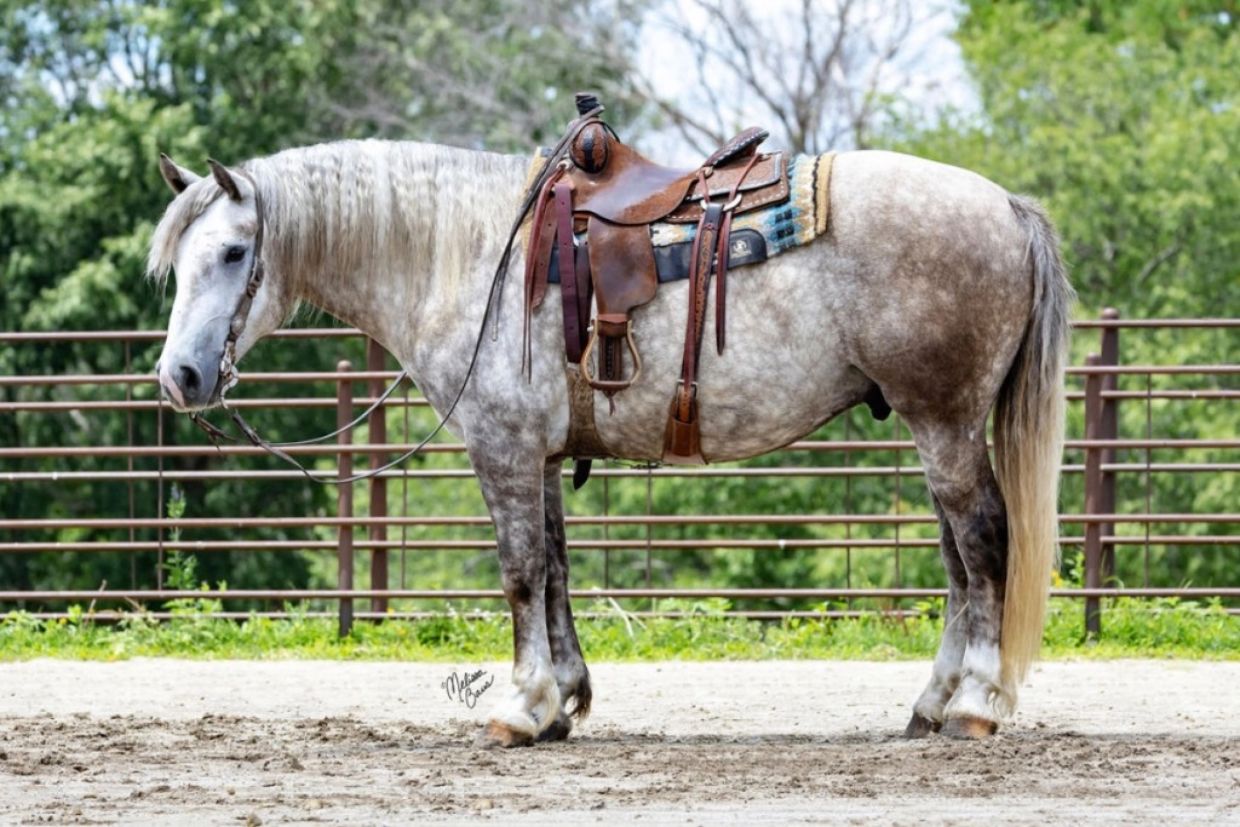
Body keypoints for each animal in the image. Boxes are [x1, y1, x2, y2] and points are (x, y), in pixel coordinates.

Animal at [147, 137, 1072, 745]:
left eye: (233, 252)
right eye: (177, 263)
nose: (181, 376)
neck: (468, 259)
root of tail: (1006, 205)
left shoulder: (503, 448)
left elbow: (520, 572)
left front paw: (521, 708)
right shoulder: (542, 454)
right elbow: (555, 569)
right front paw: (563, 699)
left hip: (946, 422)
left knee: (984, 544)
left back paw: (976, 704)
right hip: (935, 426)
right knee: (958, 563)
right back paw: (930, 705)